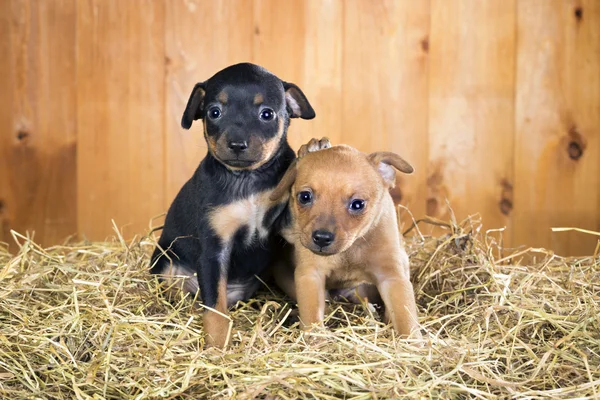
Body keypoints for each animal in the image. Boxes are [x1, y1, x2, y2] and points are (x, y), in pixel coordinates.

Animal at [151, 61, 314, 346]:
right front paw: (217, 344)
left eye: (267, 114)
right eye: (214, 112)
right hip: (167, 266)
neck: (246, 180)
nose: (237, 144)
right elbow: (215, 307)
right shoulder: (215, 250)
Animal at [270, 144, 420, 338]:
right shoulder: (310, 275)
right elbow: (312, 315)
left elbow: (405, 315)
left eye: (357, 204)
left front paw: (412, 341)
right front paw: (315, 339)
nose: (322, 238)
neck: (350, 249)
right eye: (304, 196)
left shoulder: (392, 277)